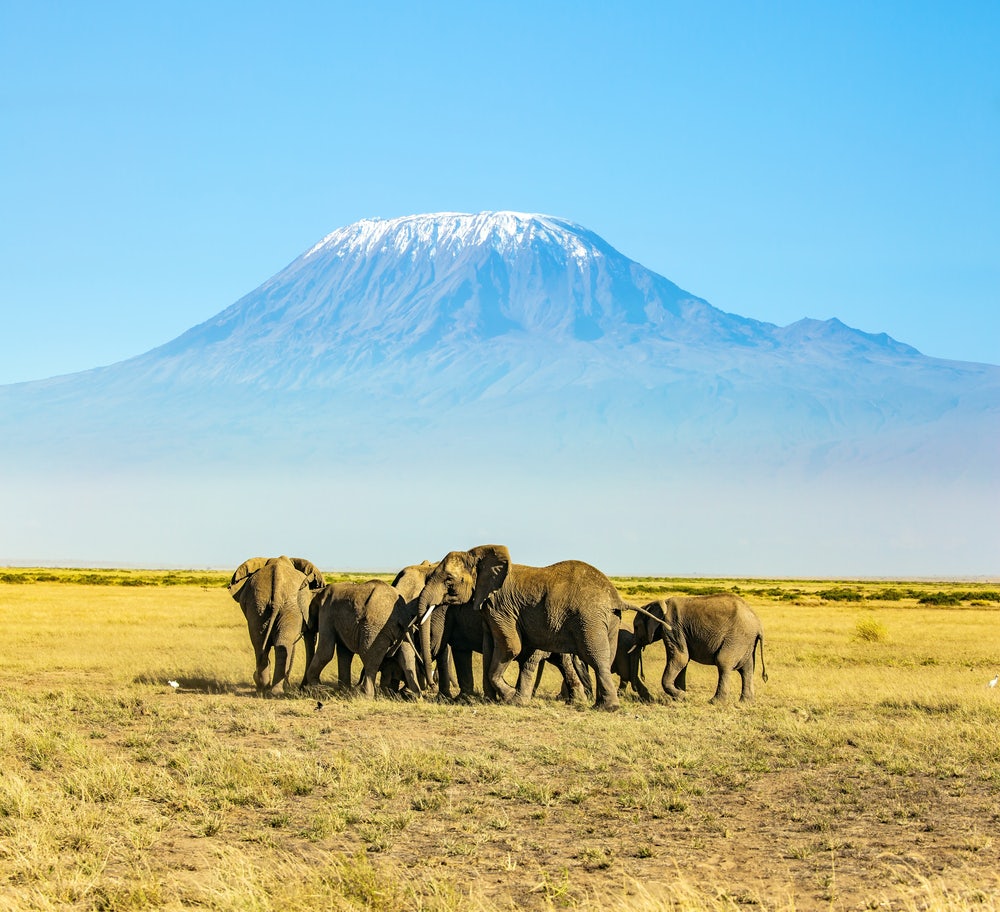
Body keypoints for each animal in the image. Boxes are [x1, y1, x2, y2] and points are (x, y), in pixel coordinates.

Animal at [228, 556, 325, 696]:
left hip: (258, 604)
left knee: (260, 644)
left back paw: (264, 688)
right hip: (287, 606)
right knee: (278, 644)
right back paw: (275, 691)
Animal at [416, 544, 623, 711]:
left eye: (449, 580)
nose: (430, 685)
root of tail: (615, 598)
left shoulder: (500, 607)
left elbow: (511, 647)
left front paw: (507, 696)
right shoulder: (488, 609)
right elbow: (491, 647)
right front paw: (492, 699)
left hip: (589, 618)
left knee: (595, 657)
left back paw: (605, 707)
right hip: (607, 620)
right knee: (602, 656)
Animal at [631, 595, 767, 703]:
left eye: (636, 627)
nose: (643, 676)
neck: (661, 602)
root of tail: (759, 624)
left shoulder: (672, 627)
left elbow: (680, 658)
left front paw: (682, 696)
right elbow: (683, 662)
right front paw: (680, 698)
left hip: (737, 638)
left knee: (723, 662)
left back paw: (715, 702)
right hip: (747, 642)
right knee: (747, 669)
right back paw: (746, 702)